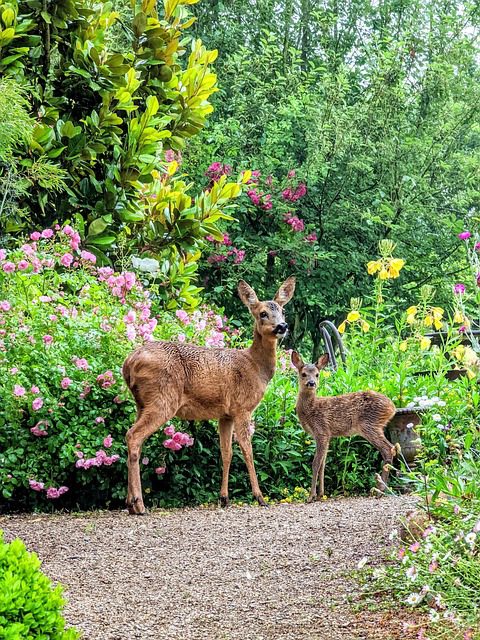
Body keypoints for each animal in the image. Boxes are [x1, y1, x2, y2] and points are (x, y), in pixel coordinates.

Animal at [122, 277, 296, 514]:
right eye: (262, 313)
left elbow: (226, 452)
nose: (282, 326)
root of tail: (128, 363)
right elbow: (247, 450)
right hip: (162, 398)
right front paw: (260, 497)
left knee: (133, 438)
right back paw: (139, 505)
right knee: (133, 436)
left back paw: (130, 503)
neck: (255, 367)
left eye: (283, 310)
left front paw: (224, 498)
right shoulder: (242, 407)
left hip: (141, 402)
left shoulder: (226, 414)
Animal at [291, 351, 398, 503]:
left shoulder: (322, 430)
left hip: (369, 425)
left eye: (317, 374)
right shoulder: (326, 435)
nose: (311, 383)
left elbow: (316, 463)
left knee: (388, 449)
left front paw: (311, 496)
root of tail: (392, 408)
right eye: (303, 374)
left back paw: (380, 490)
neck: (311, 410)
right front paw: (321, 494)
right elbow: (323, 464)